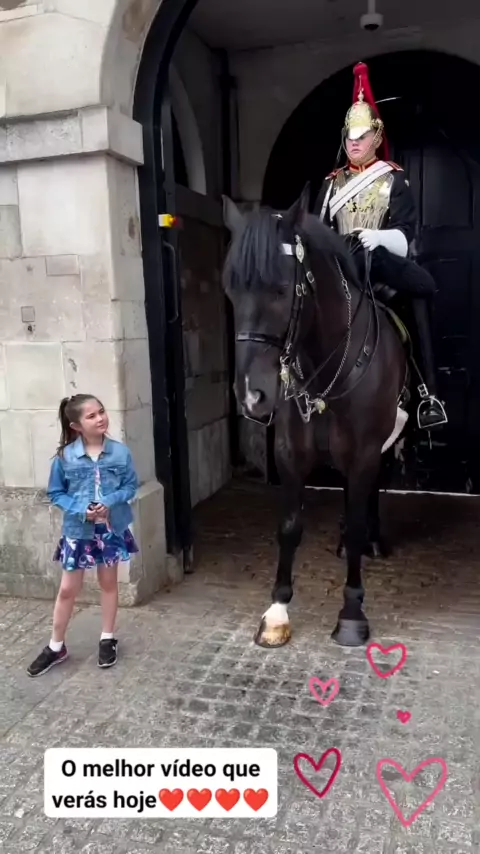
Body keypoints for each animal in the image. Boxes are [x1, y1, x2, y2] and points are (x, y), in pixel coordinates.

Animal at [221, 185, 408, 648]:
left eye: (281, 288)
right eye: (230, 288)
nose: (252, 396)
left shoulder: (363, 452)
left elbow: (357, 522)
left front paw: (352, 613)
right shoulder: (291, 453)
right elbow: (290, 526)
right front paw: (276, 611)